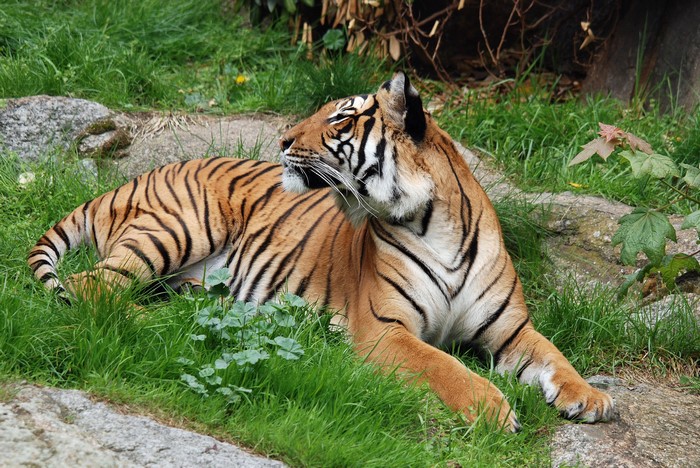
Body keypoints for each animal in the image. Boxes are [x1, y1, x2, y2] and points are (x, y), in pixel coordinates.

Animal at [29, 72, 614, 431]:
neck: (434, 223)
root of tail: (134, 177)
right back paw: (153, 325)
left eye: (340, 119)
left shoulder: (511, 328)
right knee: (90, 288)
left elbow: (554, 356)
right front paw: (492, 410)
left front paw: (590, 397)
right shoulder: (384, 328)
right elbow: (445, 365)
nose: (283, 140)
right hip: (180, 227)